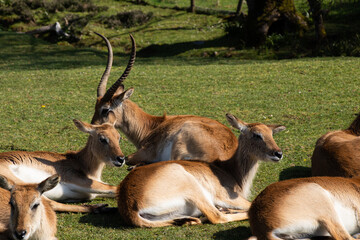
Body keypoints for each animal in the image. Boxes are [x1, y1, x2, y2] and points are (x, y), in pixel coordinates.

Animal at [116, 113, 286, 228]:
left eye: (271, 133)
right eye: (256, 135)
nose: (278, 153)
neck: (232, 172)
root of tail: (129, 203)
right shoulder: (226, 196)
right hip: (191, 185)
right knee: (217, 216)